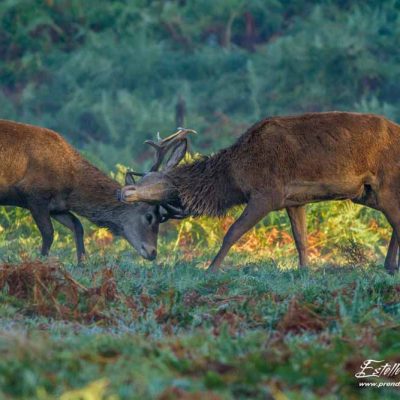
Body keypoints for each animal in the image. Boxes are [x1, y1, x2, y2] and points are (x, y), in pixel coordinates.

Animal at [0, 119, 164, 262]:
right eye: (149, 216)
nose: (153, 252)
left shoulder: (57, 207)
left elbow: (77, 226)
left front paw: (82, 263)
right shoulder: (34, 194)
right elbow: (49, 233)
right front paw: (41, 262)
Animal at [118, 112, 400, 276]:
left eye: (153, 180)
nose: (124, 191)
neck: (233, 176)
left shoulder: (267, 194)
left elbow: (233, 232)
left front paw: (210, 269)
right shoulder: (293, 200)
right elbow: (301, 239)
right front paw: (304, 272)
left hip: (386, 183)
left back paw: (390, 267)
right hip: (366, 193)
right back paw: (389, 266)